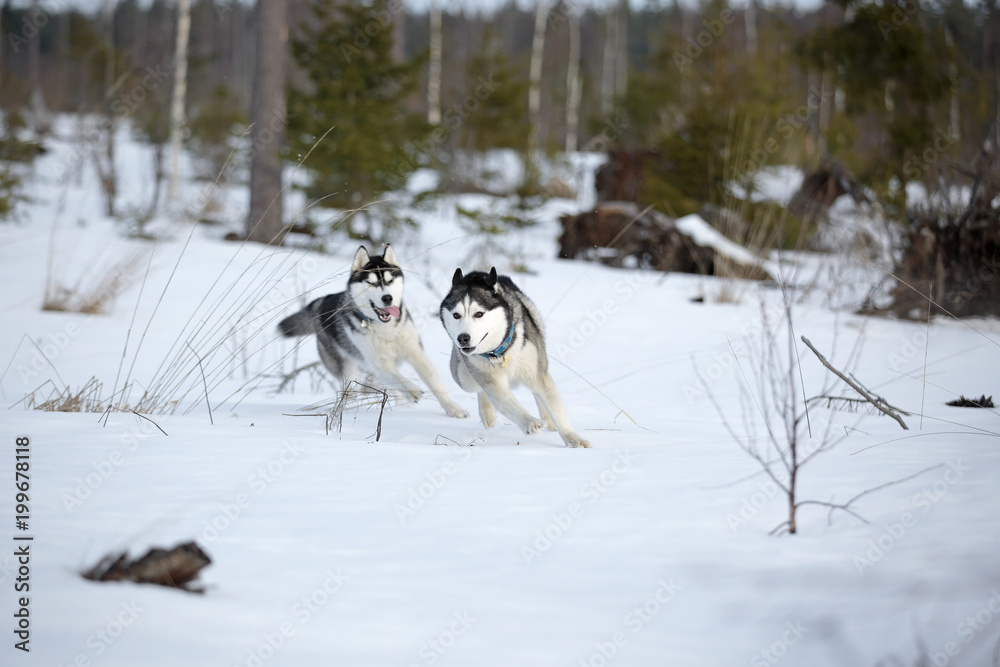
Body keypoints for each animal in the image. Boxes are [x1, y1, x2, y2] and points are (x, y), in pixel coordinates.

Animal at [278, 248, 468, 420]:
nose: (387, 298)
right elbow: (396, 377)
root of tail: (321, 301)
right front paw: (412, 390)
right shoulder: (379, 363)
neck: (386, 328)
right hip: (347, 368)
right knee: (353, 389)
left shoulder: (416, 353)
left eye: (390, 281)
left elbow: (434, 381)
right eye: (371, 283)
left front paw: (453, 408)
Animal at [440, 268, 592, 448]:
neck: (500, 353)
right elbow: (506, 402)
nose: (463, 338)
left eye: (479, 314)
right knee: (478, 388)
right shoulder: (491, 381)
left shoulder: (537, 372)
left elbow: (554, 405)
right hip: (464, 378)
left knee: (538, 390)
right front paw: (530, 422)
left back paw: (547, 418)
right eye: (456, 315)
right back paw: (488, 413)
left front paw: (573, 439)